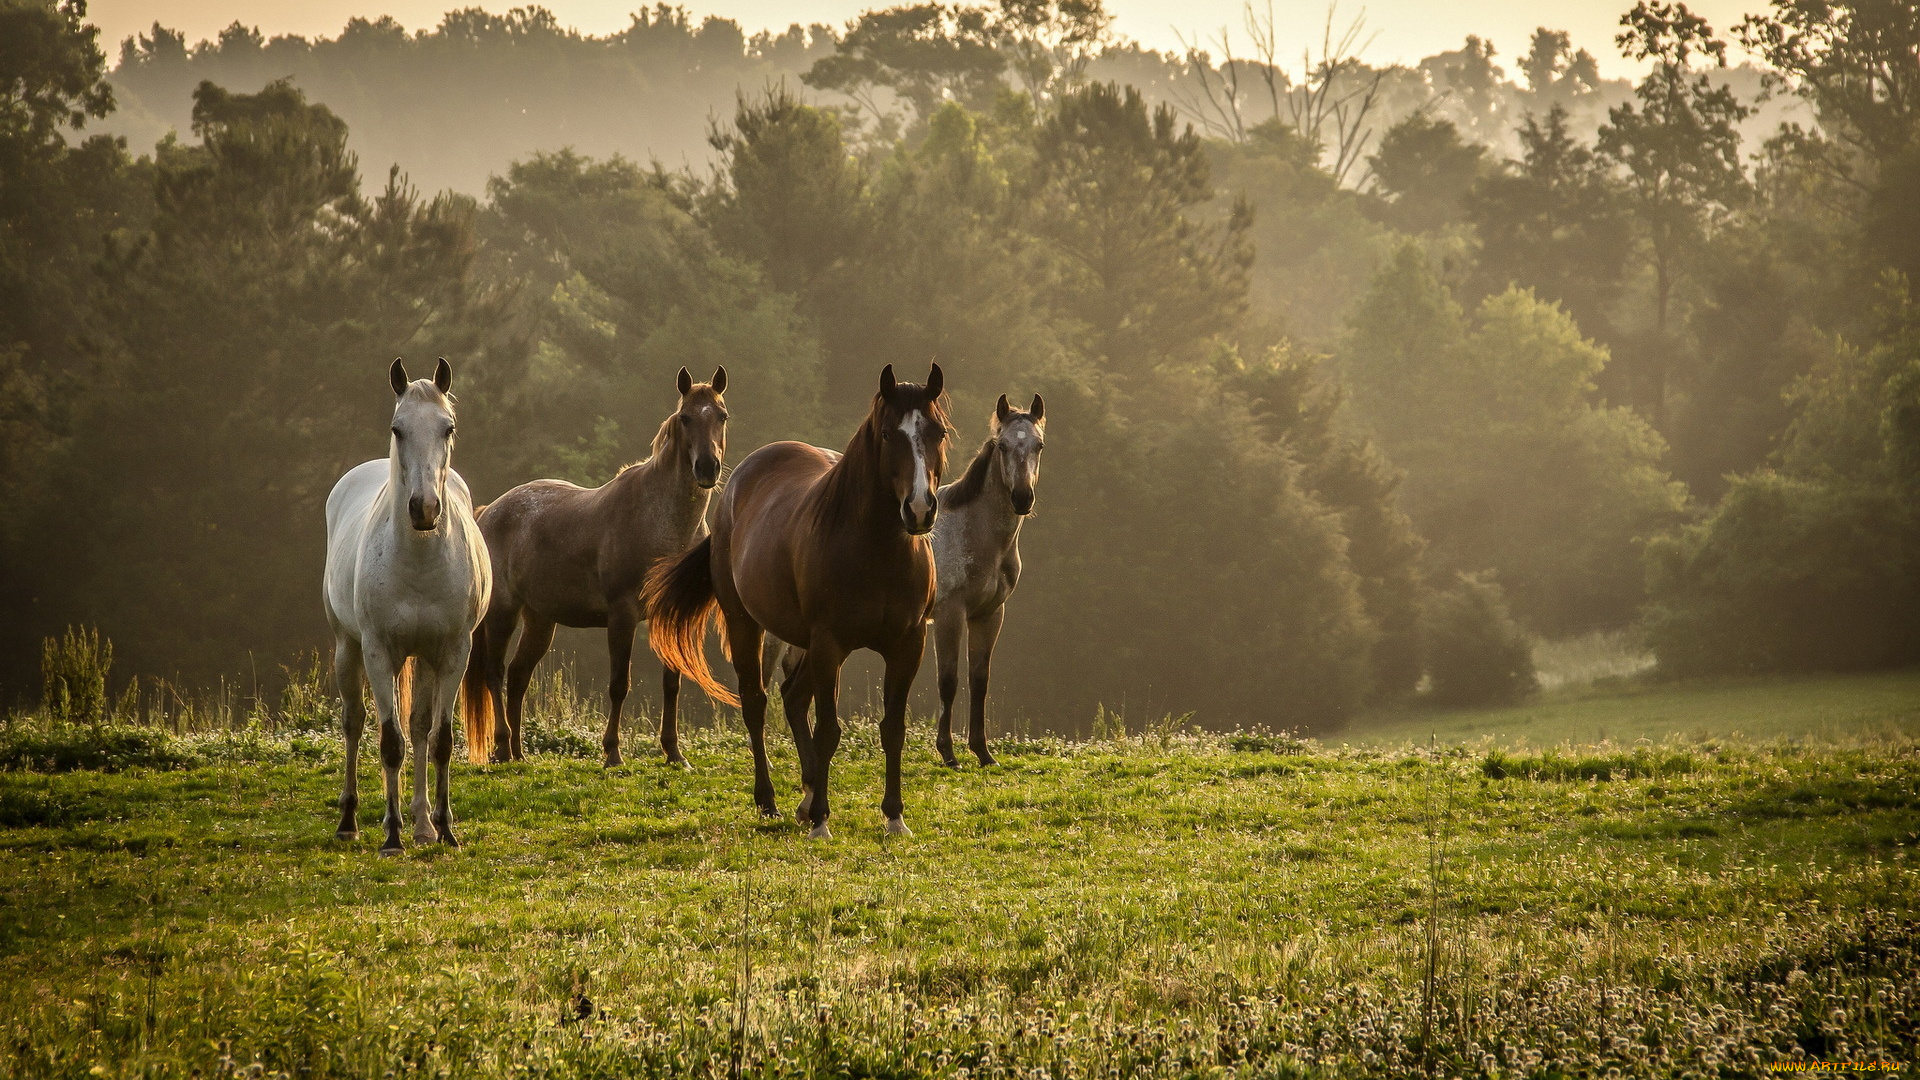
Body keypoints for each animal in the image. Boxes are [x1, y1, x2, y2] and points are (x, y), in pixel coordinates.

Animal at [324, 357, 491, 853]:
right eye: (397, 428)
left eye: (448, 427)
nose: (424, 508)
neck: (417, 561)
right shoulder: (379, 652)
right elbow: (389, 743)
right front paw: (392, 835)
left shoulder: (453, 652)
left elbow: (438, 740)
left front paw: (445, 829)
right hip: (348, 647)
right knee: (354, 723)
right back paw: (352, 821)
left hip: (425, 658)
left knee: (418, 726)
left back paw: (422, 824)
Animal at [462, 368, 725, 764]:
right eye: (685, 418)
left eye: (722, 416)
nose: (707, 468)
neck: (661, 523)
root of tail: (488, 512)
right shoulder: (622, 615)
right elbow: (618, 685)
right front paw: (612, 752)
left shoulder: (667, 614)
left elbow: (672, 683)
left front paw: (674, 753)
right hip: (502, 613)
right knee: (495, 673)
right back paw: (503, 746)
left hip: (540, 620)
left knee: (519, 675)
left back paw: (519, 752)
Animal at [645, 361, 944, 834]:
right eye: (887, 434)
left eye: (938, 432)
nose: (919, 509)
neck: (877, 552)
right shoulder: (829, 644)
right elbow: (828, 731)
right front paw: (822, 818)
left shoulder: (907, 644)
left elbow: (892, 728)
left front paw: (894, 816)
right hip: (748, 625)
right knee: (757, 703)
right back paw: (770, 800)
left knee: (792, 697)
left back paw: (804, 797)